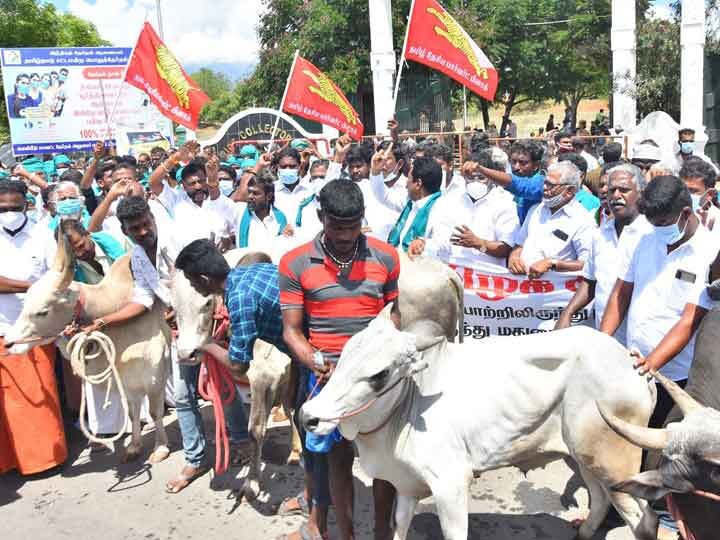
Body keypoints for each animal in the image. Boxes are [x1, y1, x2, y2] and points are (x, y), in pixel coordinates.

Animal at [300, 310, 660, 540]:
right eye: (344, 354)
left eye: (379, 375)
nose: (308, 417)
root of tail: (634, 362)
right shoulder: (406, 485)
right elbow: (398, 525)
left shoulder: (451, 485)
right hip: (584, 455)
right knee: (599, 500)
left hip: (614, 462)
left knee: (644, 520)